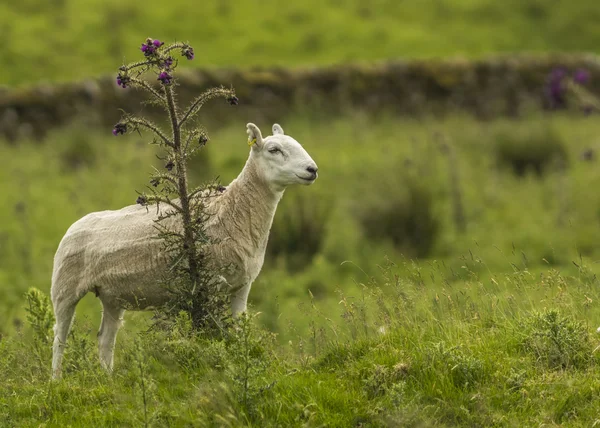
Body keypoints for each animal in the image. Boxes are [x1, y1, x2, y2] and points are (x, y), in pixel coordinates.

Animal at [50, 123, 318, 378]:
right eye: (274, 150)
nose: (312, 169)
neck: (233, 210)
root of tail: (74, 225)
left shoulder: (242, 285)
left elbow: (239, 330)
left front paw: (241, 359)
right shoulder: (209, 282)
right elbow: (213, 330)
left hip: (112, 296)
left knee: (105, 339)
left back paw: (108, 379)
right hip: (64, 289)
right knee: (59, 337)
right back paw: (56, 382)